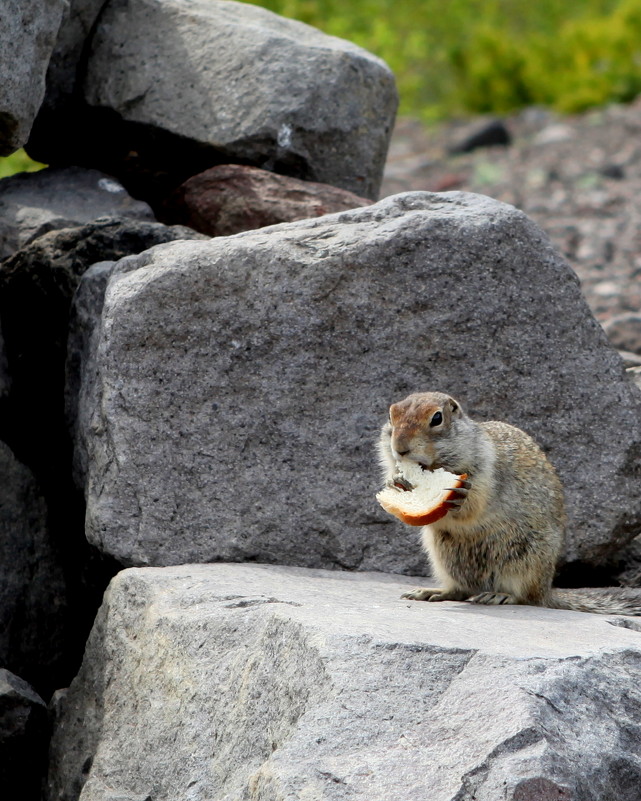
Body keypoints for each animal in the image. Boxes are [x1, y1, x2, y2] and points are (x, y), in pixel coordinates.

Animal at [378, 390, 640, 616]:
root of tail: (547, 590)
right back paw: (431, 592)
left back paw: (499, 595)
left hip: (525, 559)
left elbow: (474, 502)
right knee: (461, 590)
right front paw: (395, 481)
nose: (400, 448)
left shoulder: (485, 473)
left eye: (436, 418)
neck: (435, 465)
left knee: (525, 597)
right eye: (391, 415)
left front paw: (460, 495)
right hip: (443, 556)